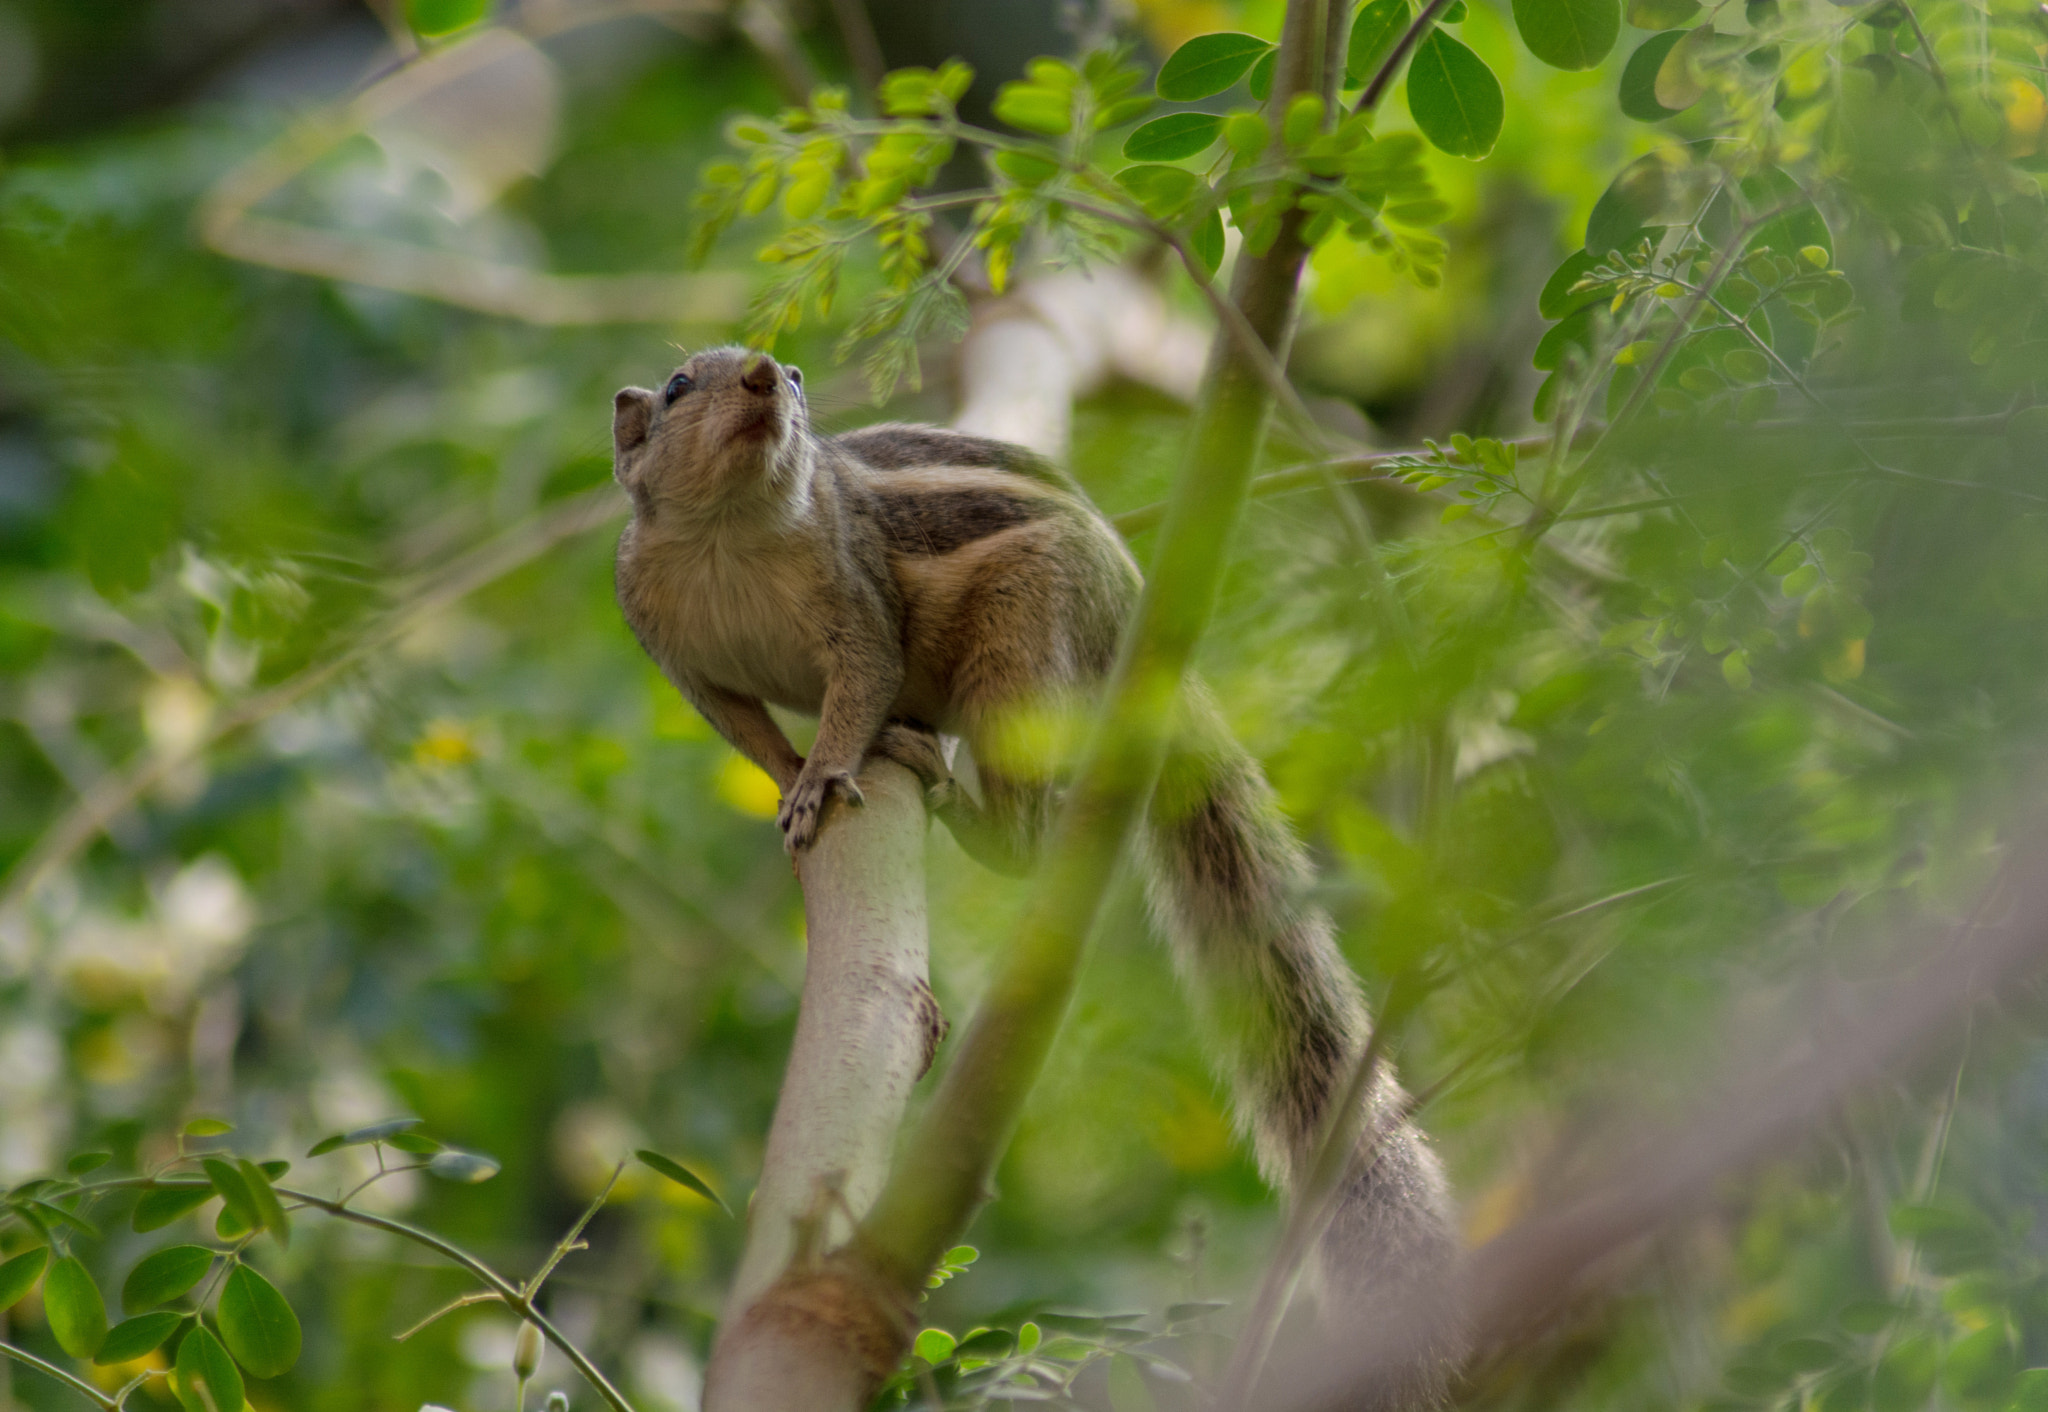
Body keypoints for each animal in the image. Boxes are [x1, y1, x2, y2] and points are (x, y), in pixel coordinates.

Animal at [612, 346, 1455, 1386]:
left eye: (801, 378)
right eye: (679, 387)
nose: (771, 375)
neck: (729, 534)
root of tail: (1132, 607)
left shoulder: (857, 603)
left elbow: (860, 685)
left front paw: (825, 774)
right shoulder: (680, 654)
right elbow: (746, 730)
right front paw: (788, 780)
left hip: (1019, 645)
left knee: (1023, 831)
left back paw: (952, 791)